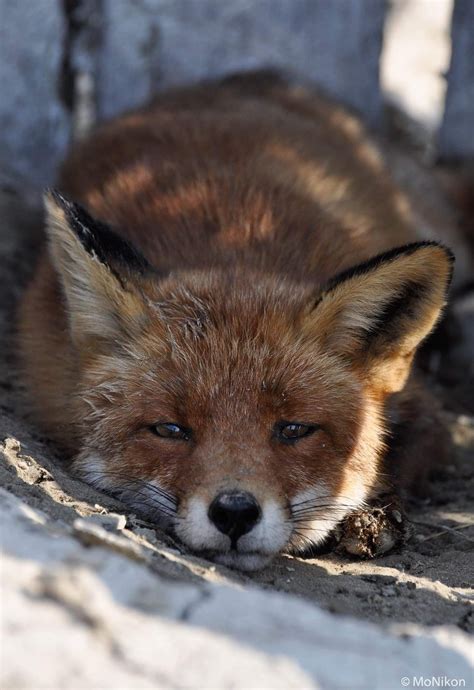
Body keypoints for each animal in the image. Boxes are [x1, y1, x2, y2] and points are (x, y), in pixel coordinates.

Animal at [18, 74, 454, 568]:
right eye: (169, 429)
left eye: (294, 429)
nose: (234, 513)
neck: (233, 252)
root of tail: (256, 77)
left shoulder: (426, 412)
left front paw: (374, 513)